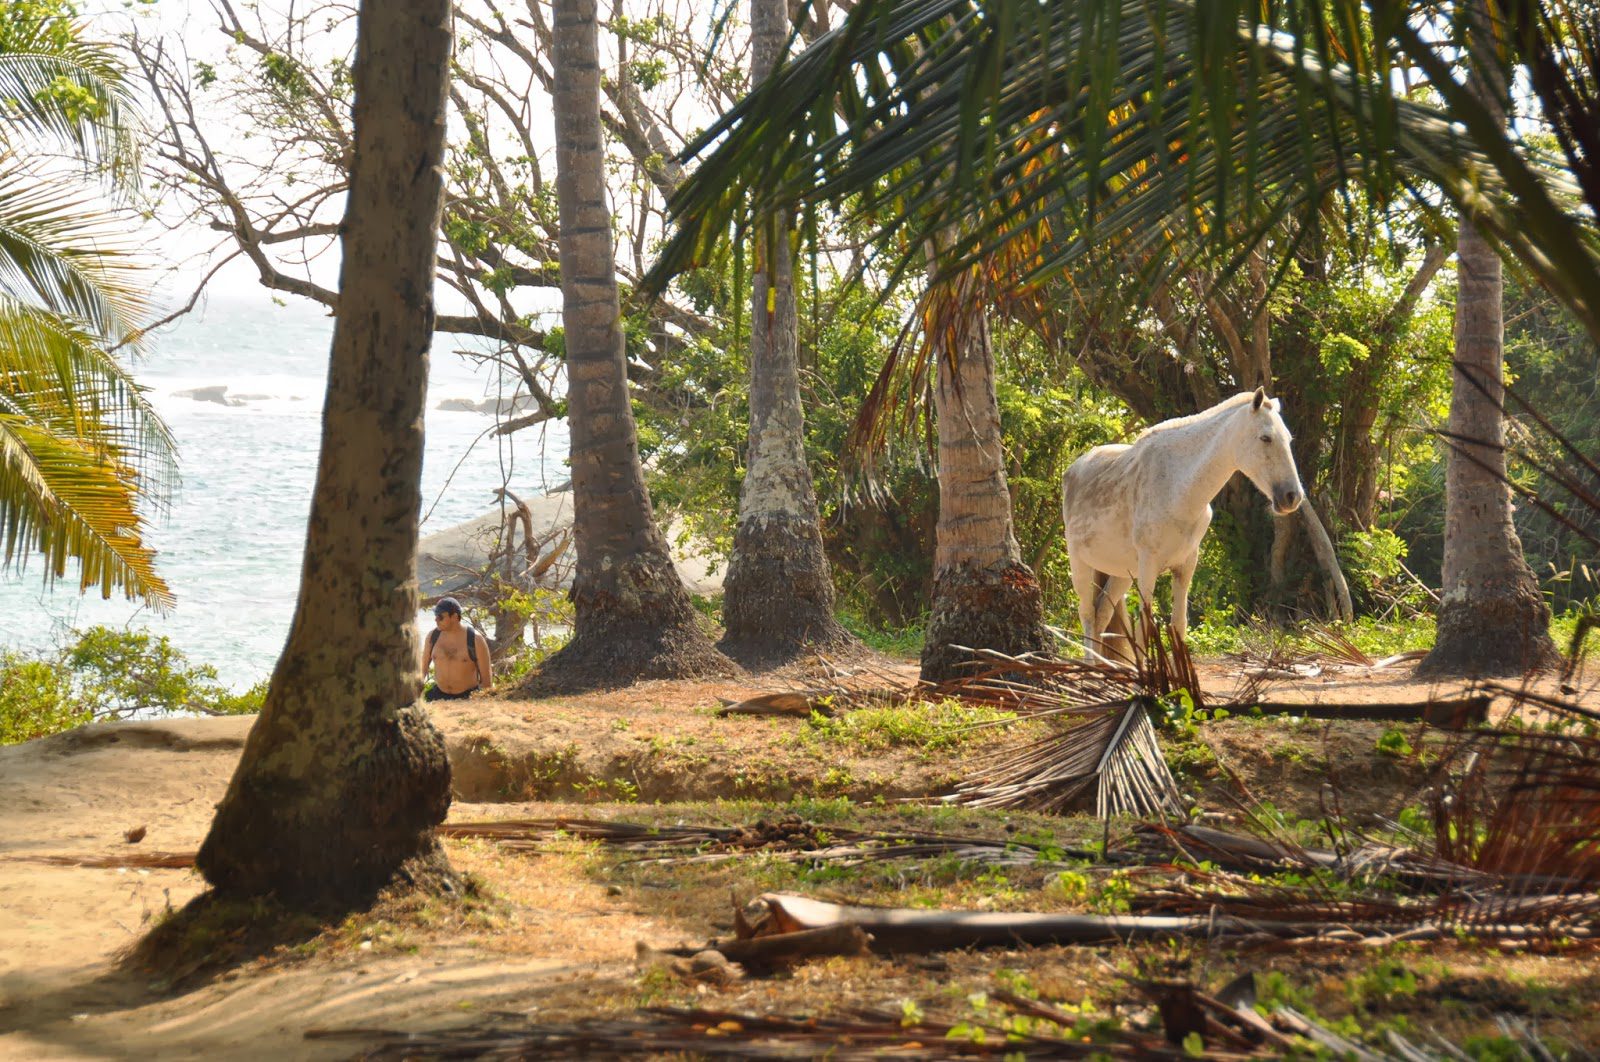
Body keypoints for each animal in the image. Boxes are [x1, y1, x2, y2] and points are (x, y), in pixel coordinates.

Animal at [1062, 385, 1299, 658]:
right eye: (1265, 438)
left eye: (1288, 439)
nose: (1292, 496)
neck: (1177, 488)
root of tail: (1073, 468)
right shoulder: (1148, 566)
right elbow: (1145, 628)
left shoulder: (1185, 565)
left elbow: (1179, 626)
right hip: (1081, 564)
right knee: (1087, 614)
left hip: (1121, 573)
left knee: (1101, 614)